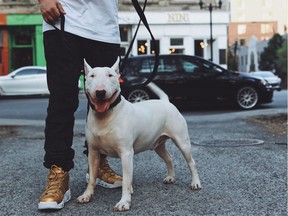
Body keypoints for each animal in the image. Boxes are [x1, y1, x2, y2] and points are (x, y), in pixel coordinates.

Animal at [77, 57, 202, 211]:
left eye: (110, 75)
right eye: (91, 76)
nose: (100, 92)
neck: (105, 116)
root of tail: (166, 102)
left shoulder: (126, 153)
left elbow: (126, 180)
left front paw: (124, 202)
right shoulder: (93, 152)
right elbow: (92, 178)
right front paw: (86, 195)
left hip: (182, 141)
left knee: (191, 162)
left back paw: (195, 183)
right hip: (158, 145)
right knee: (169, 158)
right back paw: (171, 177)